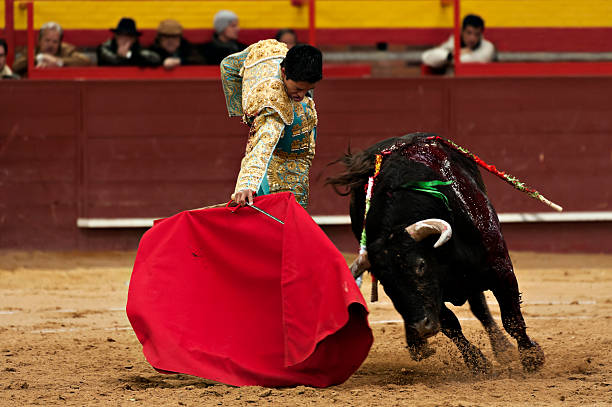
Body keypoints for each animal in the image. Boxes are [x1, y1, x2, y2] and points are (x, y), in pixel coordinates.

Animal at [328, 133, 548, 372]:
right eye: (385, 282)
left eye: (421, 265)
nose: (421, 328)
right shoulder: (435, 296)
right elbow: (451, 324)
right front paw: (477, 363)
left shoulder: (500, 268)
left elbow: (511, 318)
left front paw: (531, 357)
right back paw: (418, 346)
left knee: (481, 308)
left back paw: (503, 348)